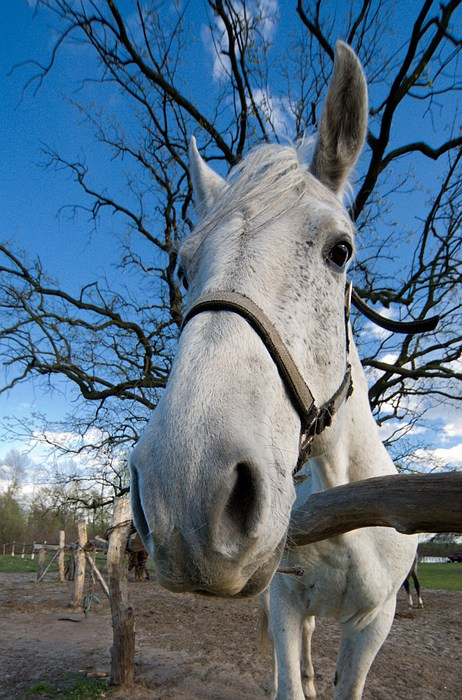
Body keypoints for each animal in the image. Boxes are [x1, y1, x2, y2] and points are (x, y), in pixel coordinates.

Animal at [130, 41, 417, 699]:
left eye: (341, 250)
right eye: (183, 267)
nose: (184, 492)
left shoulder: (375, 622)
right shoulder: (285, 604)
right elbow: (290, 683)